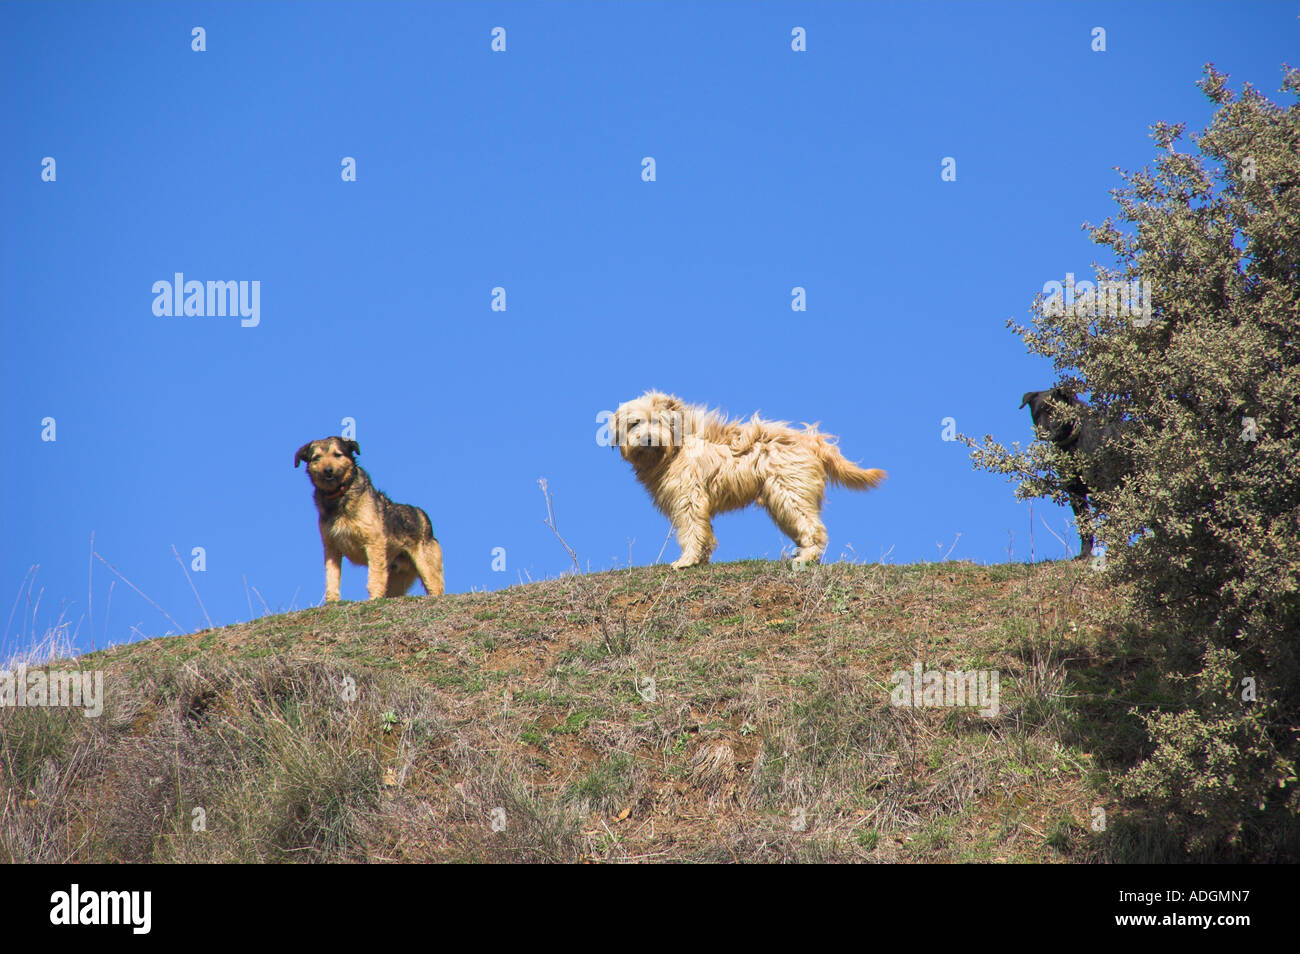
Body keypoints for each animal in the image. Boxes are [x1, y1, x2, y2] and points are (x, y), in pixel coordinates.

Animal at [292, 439, 444, 600]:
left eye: (337, 454)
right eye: (316, 457)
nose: (328, 470)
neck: (340, 497)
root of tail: (423, 515)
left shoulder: (373, 542)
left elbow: (374, 578)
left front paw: (374, 598)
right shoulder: (331, 547)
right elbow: (332, 578)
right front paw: (332, 601)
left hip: (427, 569)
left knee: (435, 588)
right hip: (397, 580)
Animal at [608, 395, 883, 571]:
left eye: (658, 421)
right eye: (634, 423)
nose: (648, 439)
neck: (676, 449)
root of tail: (813, 440)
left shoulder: (688, 498)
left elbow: (691, 528)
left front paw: (686, 561)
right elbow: (704, 531)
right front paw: (701, 559)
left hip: (789, 492)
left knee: (812, 527)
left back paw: (805, 558)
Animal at [1013, 387, 1128, 556]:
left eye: (1054, 411)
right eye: (1035, 414)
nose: (1042, 433)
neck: (1075, 442)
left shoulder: (1110, 488)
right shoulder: (1075, 491)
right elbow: (1085, 526)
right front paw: (1085, 554)